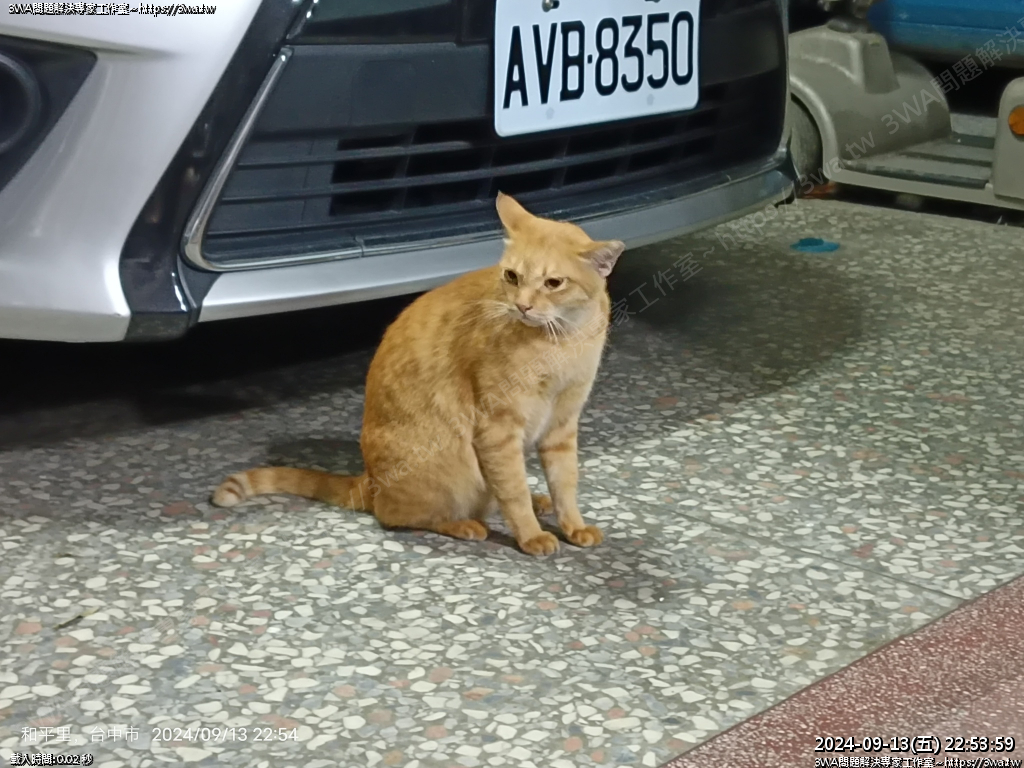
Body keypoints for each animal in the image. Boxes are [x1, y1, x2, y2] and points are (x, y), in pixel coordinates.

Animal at [211, 193, 624, 556]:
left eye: (553, 283)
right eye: (511, 276)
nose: (521, 306)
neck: (562, 341)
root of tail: (371, 481)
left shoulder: (562, 424)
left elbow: (564, 483)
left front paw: (572, 525)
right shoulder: (498, 428)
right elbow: (513, 492)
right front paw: (531, 535)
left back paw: (538, 502)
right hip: (453, 469)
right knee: (398, 516)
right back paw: (465, 524)